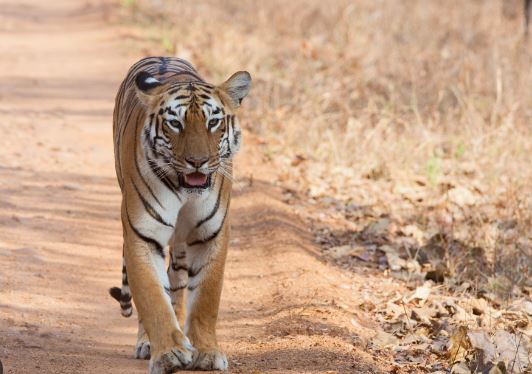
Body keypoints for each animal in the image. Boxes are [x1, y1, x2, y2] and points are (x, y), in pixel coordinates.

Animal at [108, 56, 251, 374]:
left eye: (213, 122)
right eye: (175, 123)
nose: (197, 162)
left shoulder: (211, 235)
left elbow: (206, 298)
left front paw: (206, 353)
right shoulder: (142, 235)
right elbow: (152, 297)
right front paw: (168, 353)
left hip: (183, 244)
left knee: (177, 282)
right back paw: (149, 343)